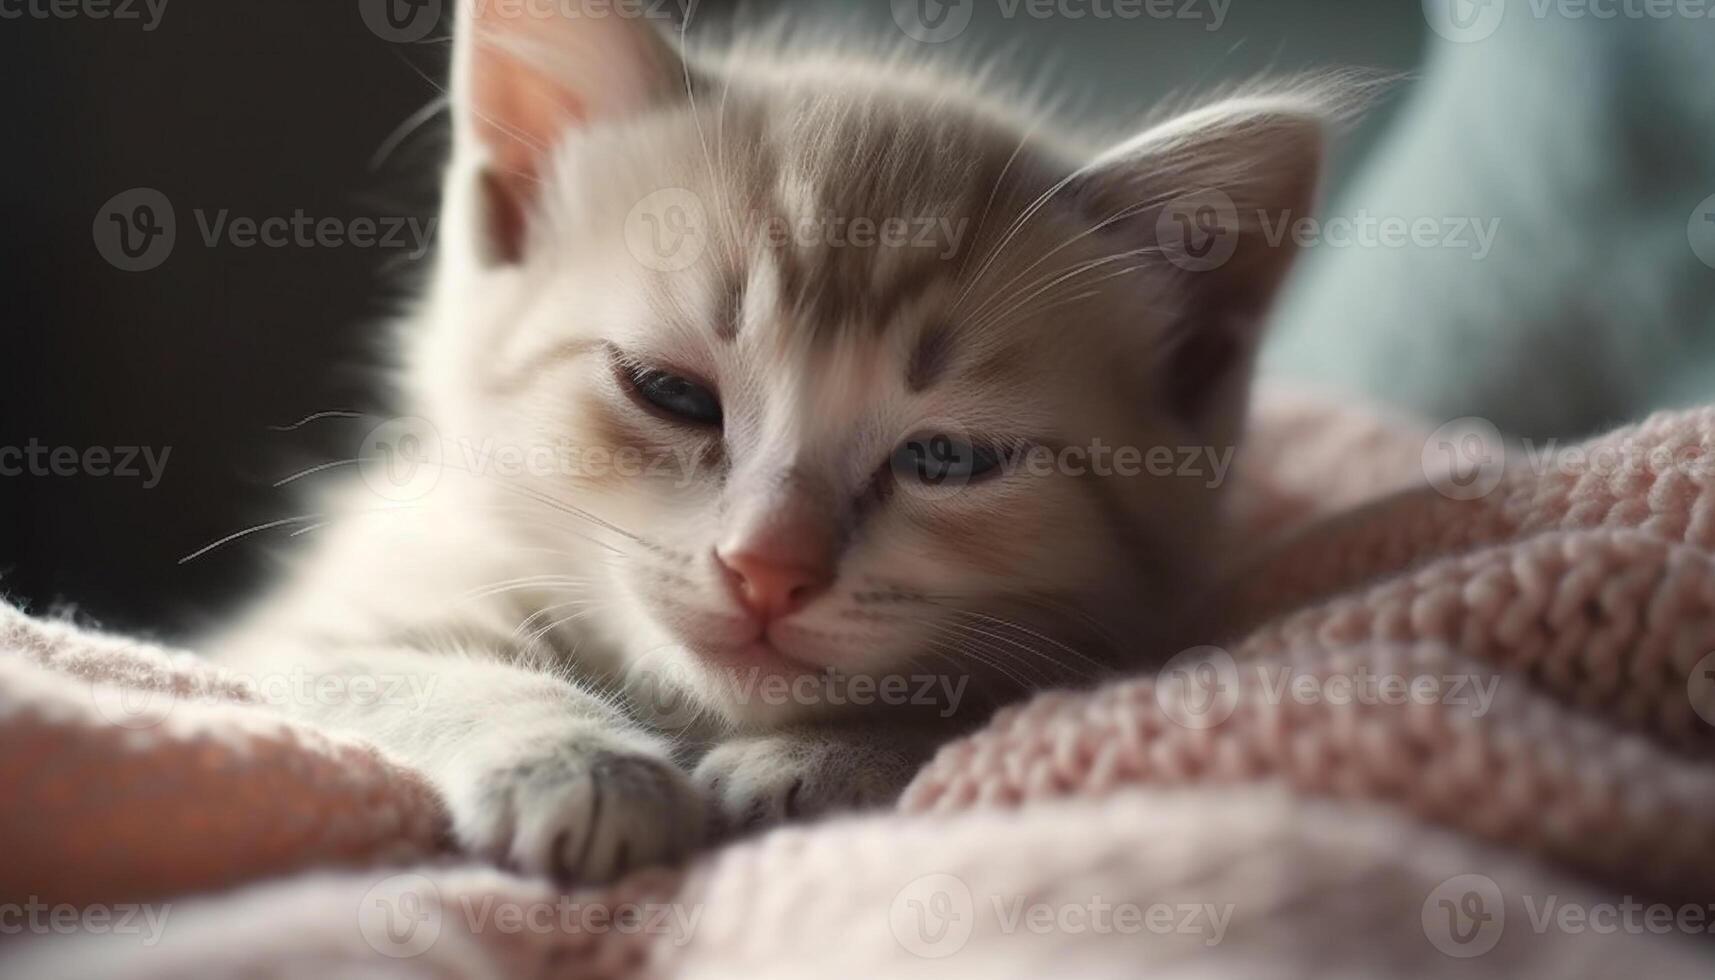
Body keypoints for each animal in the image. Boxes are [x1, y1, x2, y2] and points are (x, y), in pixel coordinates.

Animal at [214, 0, 1344, 885]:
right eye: (668, 392)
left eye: (947, 460)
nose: (768, 566)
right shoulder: (309, 622)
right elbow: (409, 665)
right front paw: (578, 762)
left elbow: (990, 688)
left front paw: (836, 751)